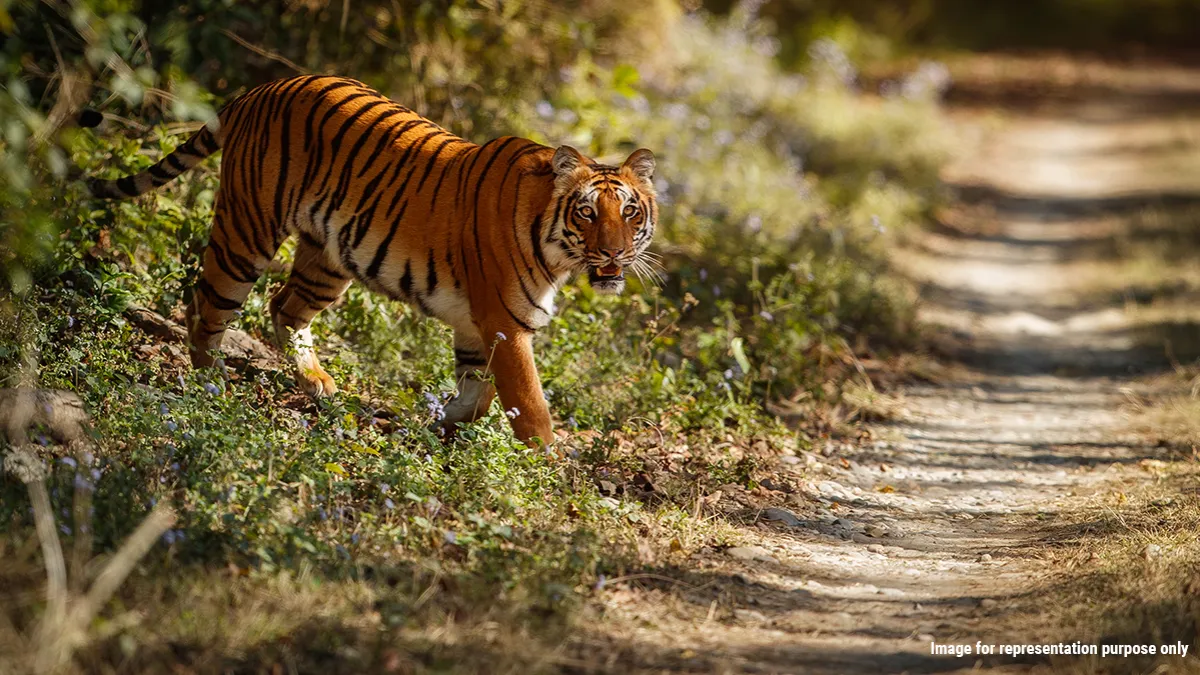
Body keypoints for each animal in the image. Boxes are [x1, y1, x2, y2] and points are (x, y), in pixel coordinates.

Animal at [83, 76, 657, 444]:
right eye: (587, 212)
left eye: (629, 212)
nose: (615, 252)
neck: (556, 250)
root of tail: (259, 90)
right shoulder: (505, 324)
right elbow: (531, 407)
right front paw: (547, 471)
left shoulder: (477, 327)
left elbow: (478, 396)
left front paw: (438, 431)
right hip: (247, 231)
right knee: (207, 305)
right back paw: (212, 386)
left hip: (329, 258)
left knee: (284, 306)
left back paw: (317, 384)